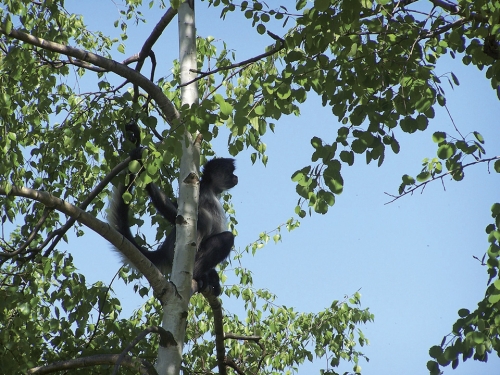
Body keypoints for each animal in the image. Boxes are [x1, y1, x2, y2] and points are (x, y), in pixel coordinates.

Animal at [108, 157, 237, 296]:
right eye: (230, 171)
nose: (235, 176)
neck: (212, 190)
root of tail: (165, 251)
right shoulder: (200, 191)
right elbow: (176, 213)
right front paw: (141, 164)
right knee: (220, 232)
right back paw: (197, 275)